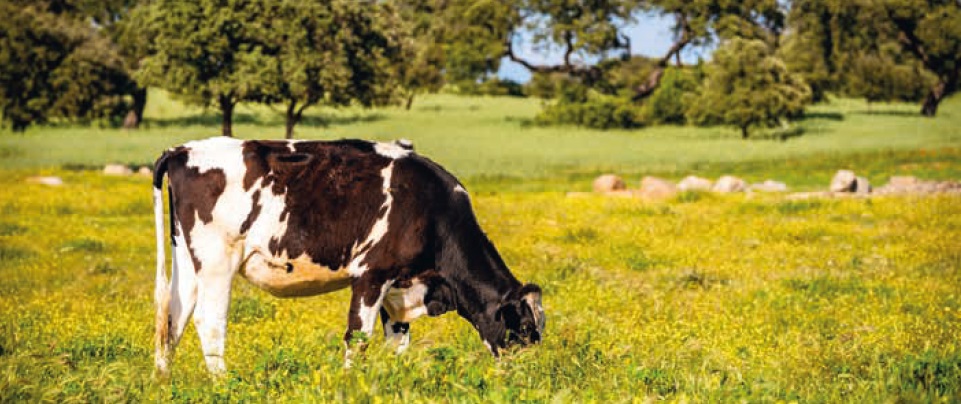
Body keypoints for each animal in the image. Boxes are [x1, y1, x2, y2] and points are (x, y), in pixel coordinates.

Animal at [153, 137, 544, 376]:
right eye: (524, 328)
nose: (528, 376)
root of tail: (182, 149)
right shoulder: (371, 274)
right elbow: (358, 337)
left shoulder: (398, 286)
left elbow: (397, 343)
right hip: (217, 261)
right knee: (209, 321)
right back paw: (223, 383)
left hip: (187, 261)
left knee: (173, 317)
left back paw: (164, 382)